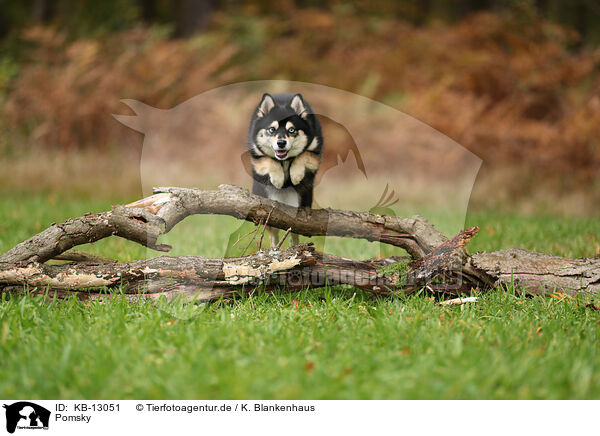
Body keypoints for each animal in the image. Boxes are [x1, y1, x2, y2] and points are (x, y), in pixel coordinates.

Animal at [247, 93, 324, 247]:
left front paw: (296, 174)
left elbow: (302, 155)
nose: (281, 143)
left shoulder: (315, 152)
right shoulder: (257, 156)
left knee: (294, 229)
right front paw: (278, 178)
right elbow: (270, 160)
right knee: (273, 231)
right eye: (272, 129)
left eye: (291, 130)